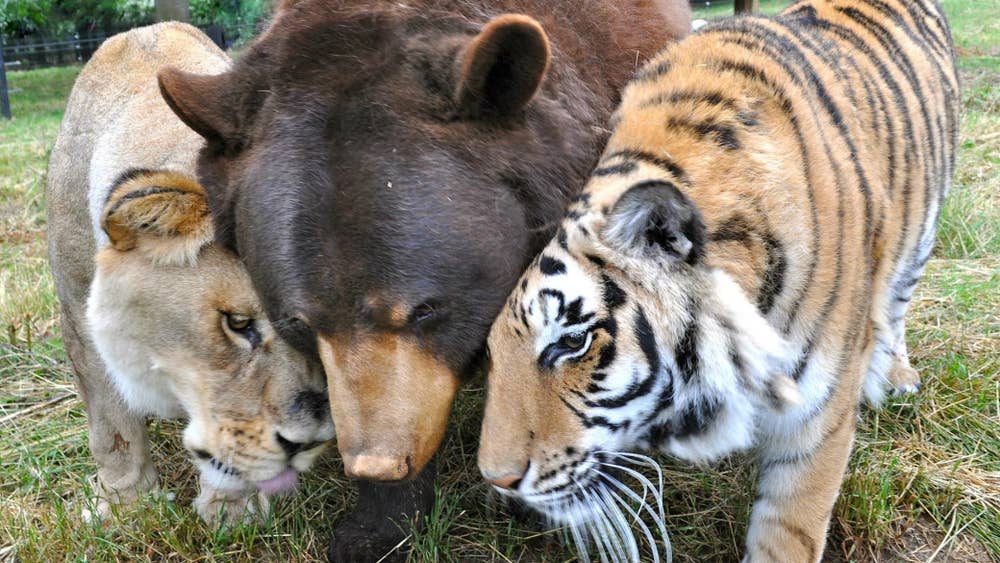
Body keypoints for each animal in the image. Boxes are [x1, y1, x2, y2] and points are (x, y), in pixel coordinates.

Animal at [46, 20, 336, 524]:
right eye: (237, 323)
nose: (308, 443)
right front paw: (125, 506)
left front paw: (232, 511)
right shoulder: (77, 313)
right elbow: (111, 427)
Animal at [476, 2, 960, 560]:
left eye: (572, 342)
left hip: (922, 233)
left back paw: (897, 374)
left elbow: (789, 531)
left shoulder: (818, 416)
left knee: (897, 302)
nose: (497, 480)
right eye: (492, 351)